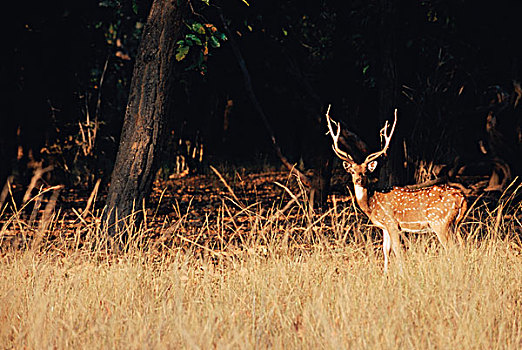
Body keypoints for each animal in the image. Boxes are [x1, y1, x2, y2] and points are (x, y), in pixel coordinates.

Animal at [324, 108, 468, 272]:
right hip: (454, 224)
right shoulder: (384, 227)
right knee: (461, 246)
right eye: (353, 171)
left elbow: (397, 250)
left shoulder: (392, 222)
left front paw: (401, 273)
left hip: (440, 221)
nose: (358, 180)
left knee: (452, 248)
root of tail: (462, 197)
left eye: (366, 171)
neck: (371, 205)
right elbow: (385, 250)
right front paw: (385, 274)